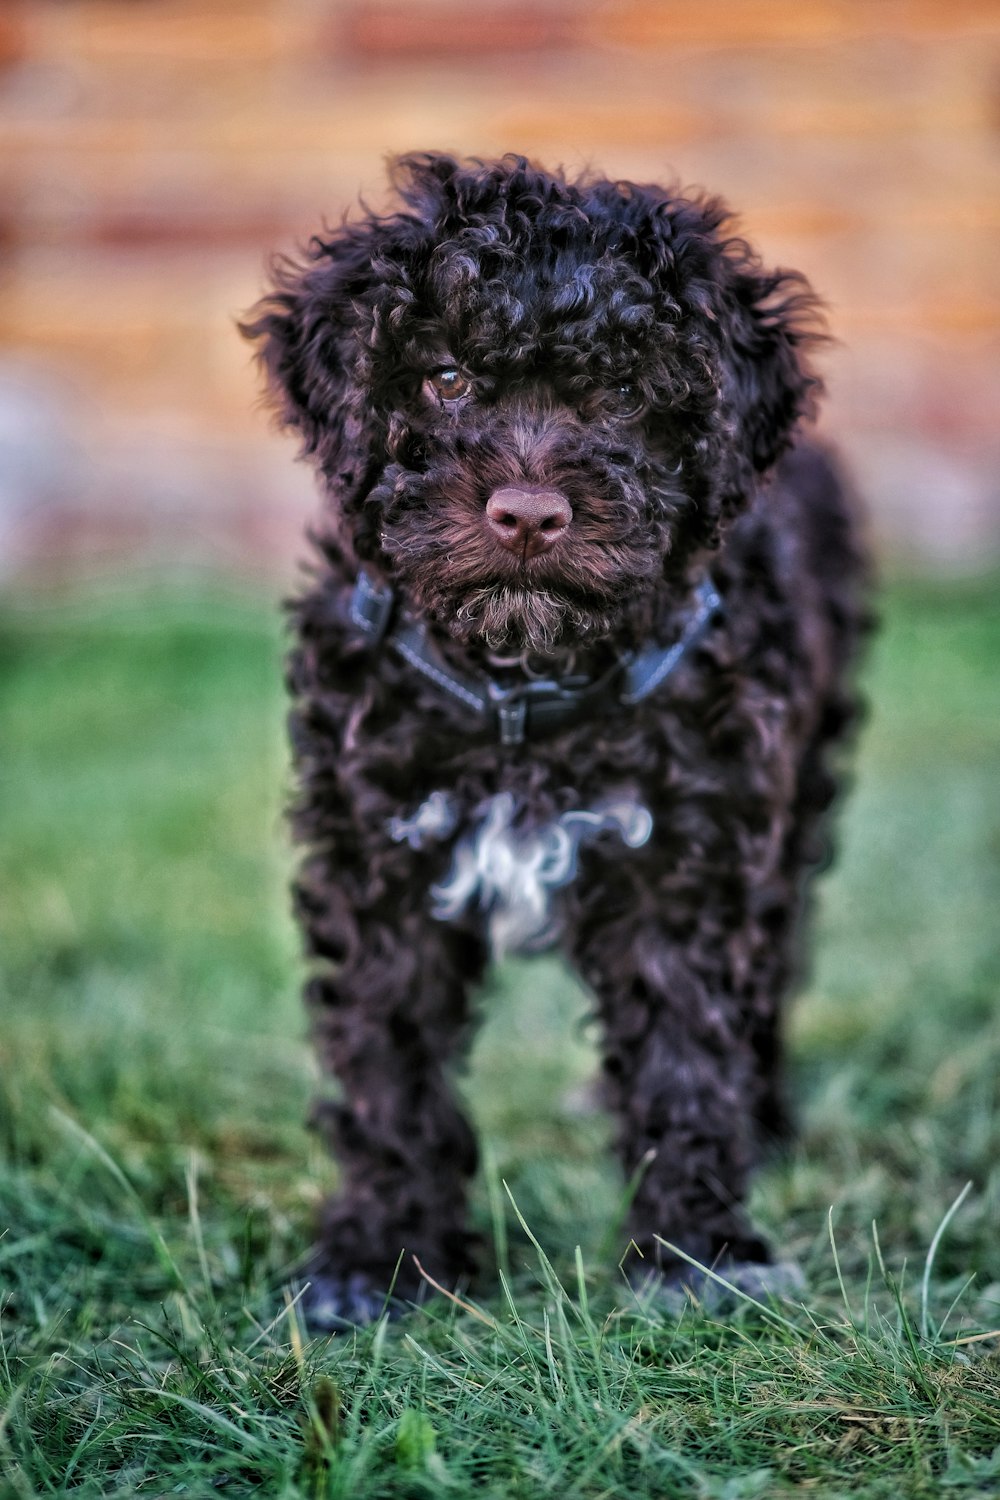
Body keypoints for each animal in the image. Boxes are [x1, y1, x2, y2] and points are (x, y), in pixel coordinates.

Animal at [242, 149, 869, 1326]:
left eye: (625, 394)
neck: (521, 684)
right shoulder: (376, 856)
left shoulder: (690, 857)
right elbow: (387, 1059)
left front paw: (697, 1254)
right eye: (443, 378)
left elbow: (685, 1053)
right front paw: (378, 1260)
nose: (529, 515)